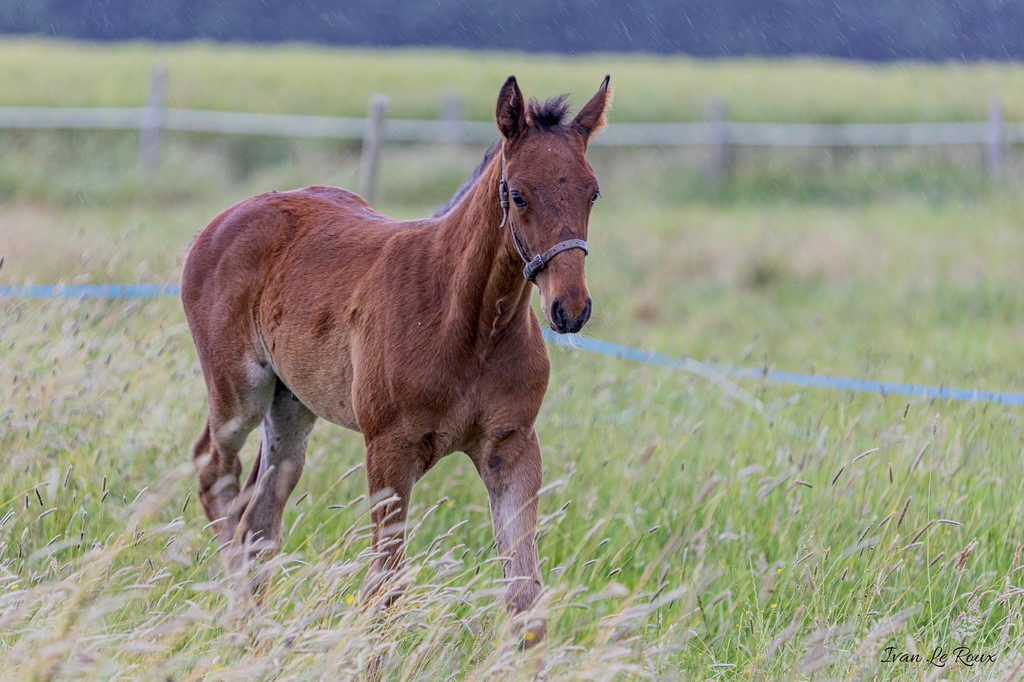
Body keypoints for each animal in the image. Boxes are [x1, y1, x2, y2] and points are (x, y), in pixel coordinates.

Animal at [180, 74, 610, 643]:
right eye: (518, 194)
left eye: (592, 191)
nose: (570, 308)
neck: (472, 327)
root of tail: (227, 218)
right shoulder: (388, 449)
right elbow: (385, 587)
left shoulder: (512, 447)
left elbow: (525, 597)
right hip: (239, 392)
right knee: (215, 472)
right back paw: (238, 619)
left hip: (292, 404)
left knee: (262, 510)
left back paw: (258, 628)